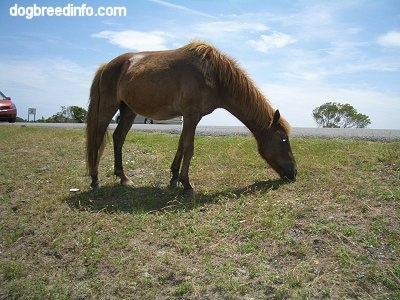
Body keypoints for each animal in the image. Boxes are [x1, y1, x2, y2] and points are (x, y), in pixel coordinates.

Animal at [86, 41, 296, 196]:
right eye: (283, 139)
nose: (294, 172)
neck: (213, 74)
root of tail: (106, 66)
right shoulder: (191, 115)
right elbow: (189, 147)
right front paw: (186, 184)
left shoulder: (190, 118)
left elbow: (181, 144)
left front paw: (174, 179)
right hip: (107, 108)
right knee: (97, 138)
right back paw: (95, 180)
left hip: (128, 111)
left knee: (118, 138)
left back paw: (124, 178)